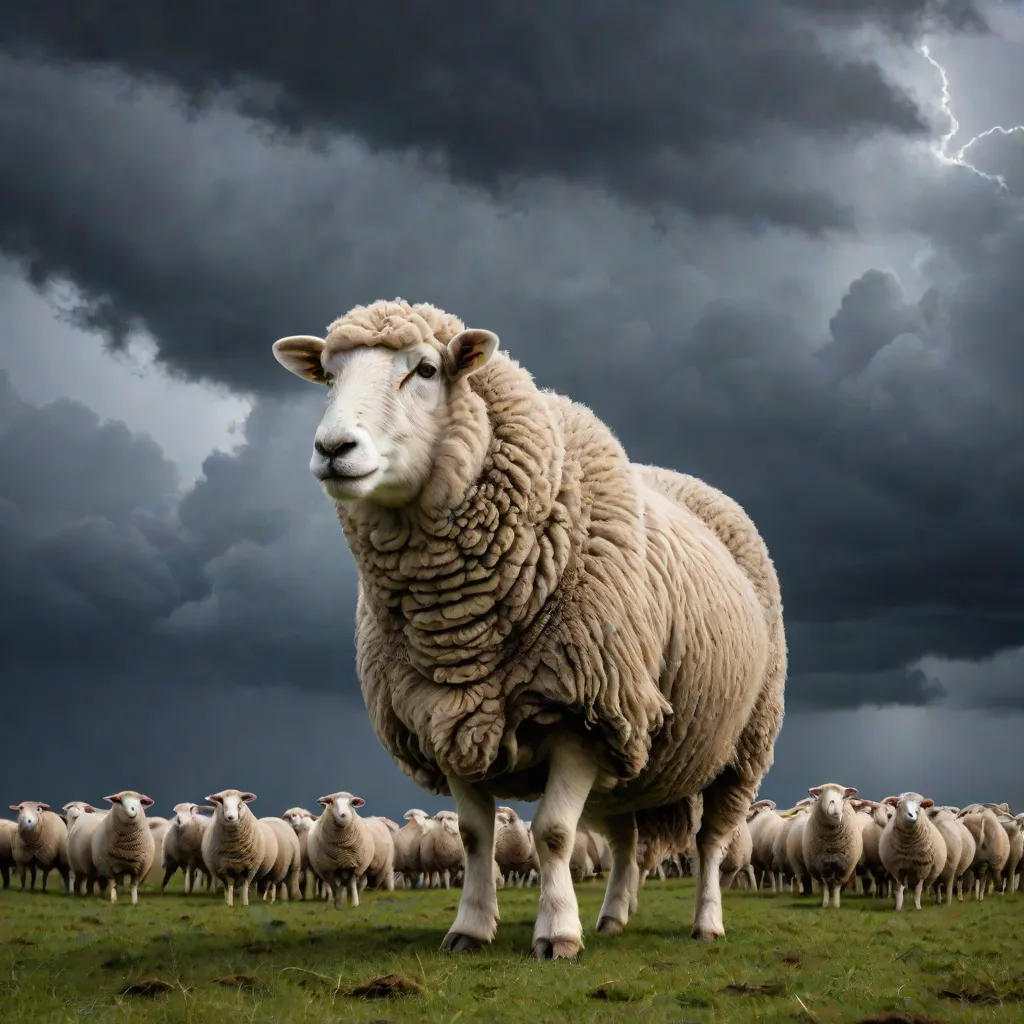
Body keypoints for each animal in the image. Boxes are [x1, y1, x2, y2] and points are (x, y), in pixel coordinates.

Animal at [272, 298, 786, 957]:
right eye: (329, 377)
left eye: (427, 370)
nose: (334, 447)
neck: (462, 626)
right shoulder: (447, 713)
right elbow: (474, 835)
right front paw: (469, 929)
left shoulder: (583, 709)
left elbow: (554, 834)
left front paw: (557, 934)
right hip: (628, 755)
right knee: (624, 840)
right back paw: (613, 916)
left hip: (741, 741)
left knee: (711, 841)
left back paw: (706, 922)